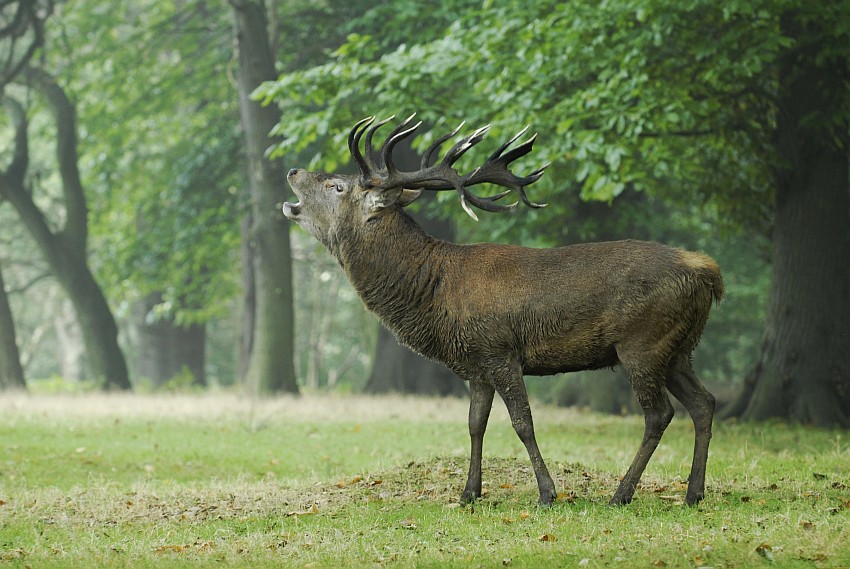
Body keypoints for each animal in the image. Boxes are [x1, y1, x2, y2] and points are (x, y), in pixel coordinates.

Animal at [284, 113, 724, 504]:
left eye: (337, 186)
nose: (292, 170)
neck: (434, 294)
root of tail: (707, 271)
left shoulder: (499, 350)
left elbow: (522, 423)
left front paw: (547, 493)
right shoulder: (475, 364)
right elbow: (474, 424)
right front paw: (469, 493)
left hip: (642, 342)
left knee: (659, 414)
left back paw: (622, 493)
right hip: (678, 348)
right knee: (704, 402)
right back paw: (693, 492)